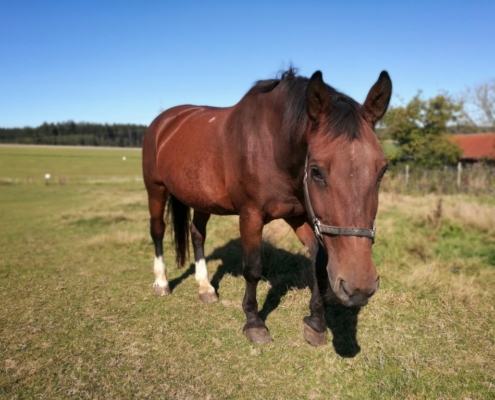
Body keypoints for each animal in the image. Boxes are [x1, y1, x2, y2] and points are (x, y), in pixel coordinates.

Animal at [142, 67, 392, 346]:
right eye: (316, 171)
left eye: (382, 170)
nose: (359, 287)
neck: (273, 146)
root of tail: (165, 121)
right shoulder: (250, 215)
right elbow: (252, 269)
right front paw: (254, 323)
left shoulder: (302, 217)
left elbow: (318, 263)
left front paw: (316, 323)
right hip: (155, 188)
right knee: (158, 230)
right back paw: (162, 283)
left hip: (200, 198)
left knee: (197, 235)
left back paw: (205, 287)